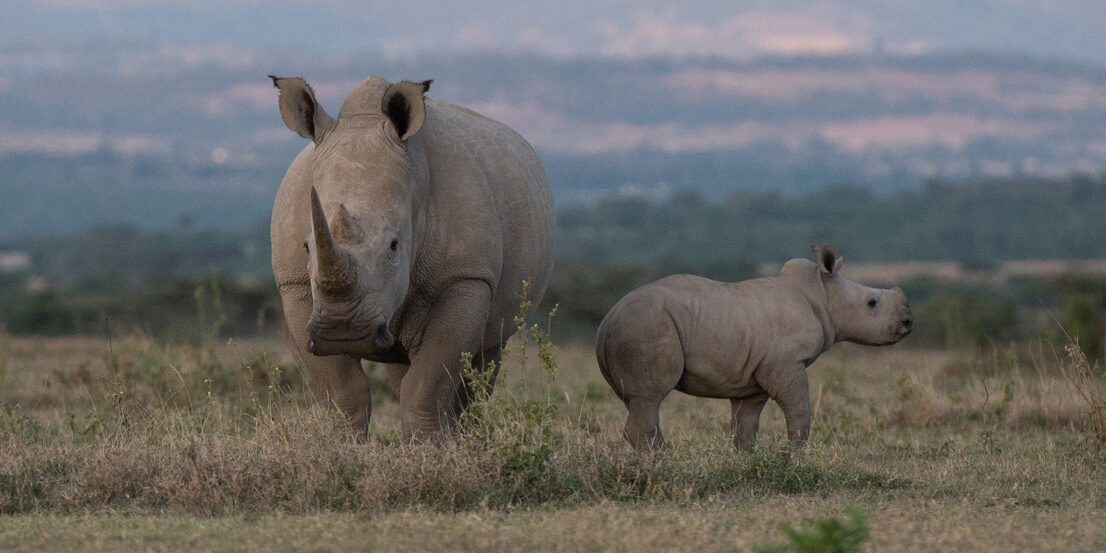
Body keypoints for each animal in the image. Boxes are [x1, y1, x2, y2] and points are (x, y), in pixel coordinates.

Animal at [269, 76, 553, 440]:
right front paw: (342, 445)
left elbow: (428, 381)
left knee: (484, 359)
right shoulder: (296, 284)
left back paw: (466, 436)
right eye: (307, 247)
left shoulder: (466, 277)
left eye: (394, 245)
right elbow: (342, 390)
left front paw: (430, 448)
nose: (344, 331)